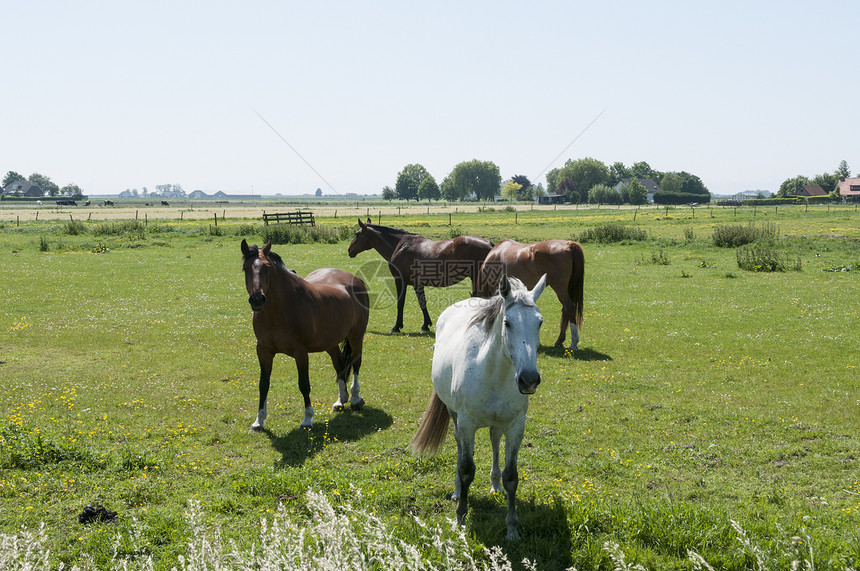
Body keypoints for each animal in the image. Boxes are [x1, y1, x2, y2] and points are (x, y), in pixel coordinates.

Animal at [240, 239, 368, 432]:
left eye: (267, 267)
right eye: (245, 268)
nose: (257, 299)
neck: (280, 309)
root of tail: (356, 280)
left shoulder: (300, 353)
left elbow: (304, 384)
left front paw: (307, 419)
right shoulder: (263, 351)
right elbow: (263, 385)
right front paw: (259, 421)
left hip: (356, 336)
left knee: (356, 363)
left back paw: (355, 399)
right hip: (330, 342)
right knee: (339, 364)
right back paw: (340, 401)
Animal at [348, 220, 494, 336]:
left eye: (357, 234)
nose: (349, 250)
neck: (400, 245)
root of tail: (490, 244)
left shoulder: (400, 281)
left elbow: (401, 303)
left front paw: (397, 327)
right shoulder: (417, 283)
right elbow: (422, 302)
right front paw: (426, 325)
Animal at [408, 274, 544, 544]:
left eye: (540, 323)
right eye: (507, 323)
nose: (529, 379)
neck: (493, 373)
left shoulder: (516, 425)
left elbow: (511, 476)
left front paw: (512, 528)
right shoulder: (467, 423)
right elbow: (466, 469)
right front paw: (460, 518)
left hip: (498, 423)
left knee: (494, 439)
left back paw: (495, 485)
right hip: (455, 417)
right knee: (460, 448)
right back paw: (457, 492)